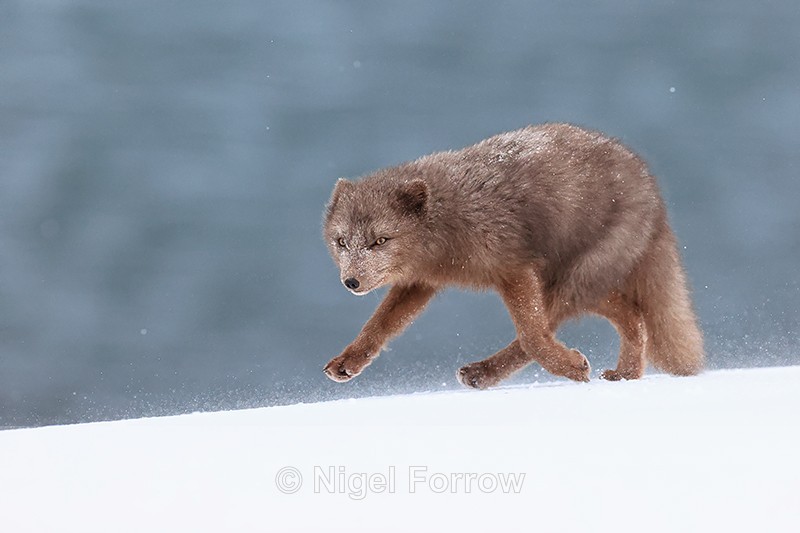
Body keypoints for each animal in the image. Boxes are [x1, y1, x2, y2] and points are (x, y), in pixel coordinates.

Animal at [322, 123, 704, 388]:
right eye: (342, 242)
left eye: (379, 241)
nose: (350, 282)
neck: (451, 220)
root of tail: (651, 188)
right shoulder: (419, 282)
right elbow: (378, 326)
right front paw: (347, 362)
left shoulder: (513, 269)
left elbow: (533, 337)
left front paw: (571, 366)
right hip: (576, 283)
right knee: (633, 315)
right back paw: (625, 375)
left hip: (570, 281)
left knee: (545, 330)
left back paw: (486, 373)